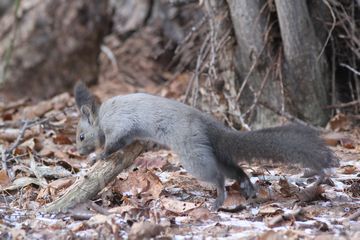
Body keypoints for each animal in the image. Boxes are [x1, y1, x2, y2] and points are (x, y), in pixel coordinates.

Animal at [74, 82, 340, 210]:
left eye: (80, 136)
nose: (78, 152)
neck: (101, 118)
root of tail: (208, 125)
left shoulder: (120, 125)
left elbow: (114, 144)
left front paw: (99, 156)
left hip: (194, 155)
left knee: (218, 177)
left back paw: (220, 199)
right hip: (212, 153)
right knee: (236, 170)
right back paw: (247, 187)